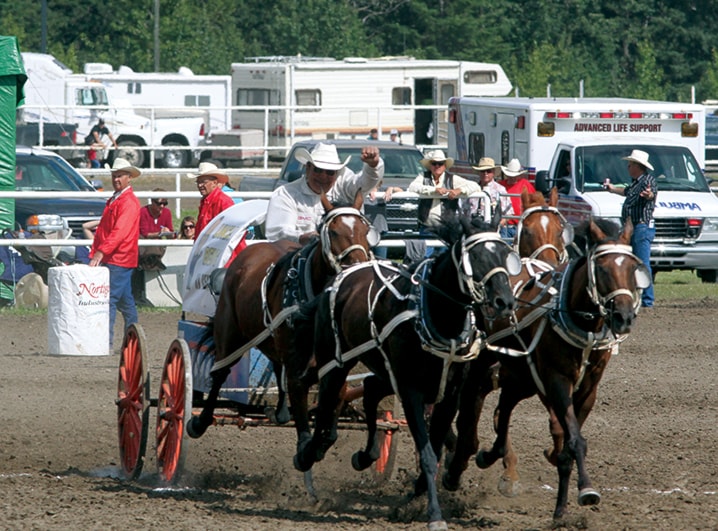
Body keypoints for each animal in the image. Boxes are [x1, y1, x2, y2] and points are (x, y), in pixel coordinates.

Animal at [186, 192, 376, 462]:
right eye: (334, 231)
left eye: (365, 229)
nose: (356, 267)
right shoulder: (298, 361)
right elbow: (299, 392)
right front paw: (306, 447)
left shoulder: (336, 362)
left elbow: (335, 401)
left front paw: (324, 441)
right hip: (230, 332)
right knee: (220, 372)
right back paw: (200, 422)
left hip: (270, 339)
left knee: (277, 366)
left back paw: (280, 412)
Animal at [296, 210, 520, 528]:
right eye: (475, 257)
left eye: (504, 253)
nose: (505, 301)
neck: (438, 316)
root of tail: (342, 276)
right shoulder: (412, 391)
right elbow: (426, 454)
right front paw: (434, 514)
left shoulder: (449, 394)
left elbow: (435, 449)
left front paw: (416, 495)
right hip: (335, 360)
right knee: (325, 401)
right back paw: (308, 452)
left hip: (384, 369)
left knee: (370, 391)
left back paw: (366, 454)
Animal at [444, 219, 652, 520]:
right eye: (602, 269)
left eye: (632, 268)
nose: (624, 317)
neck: (579, 322)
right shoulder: (556, 381)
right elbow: (573, 438)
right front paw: (586, 489)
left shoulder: (588, 388)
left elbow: (567, 440)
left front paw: (561, 507)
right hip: (485, 364)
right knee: (471, 405)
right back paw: (458, 464)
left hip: (521, 375)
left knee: (503, 408)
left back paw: (492, 455)